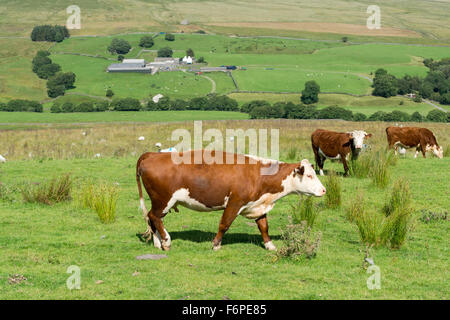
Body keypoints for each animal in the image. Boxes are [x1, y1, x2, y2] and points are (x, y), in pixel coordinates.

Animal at [135, 151, 326, 251]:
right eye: (309, 176)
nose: (324, 190)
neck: (258, 175)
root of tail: (152, 154)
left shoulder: (258, 205)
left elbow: (264, 226)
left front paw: (270, 245)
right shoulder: (235, 203)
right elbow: (224, 224)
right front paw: (216, 244)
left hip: (160, 202)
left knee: (152, 218)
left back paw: (158, 243)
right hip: (163, 200)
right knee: (155, 217)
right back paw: (166, 240)